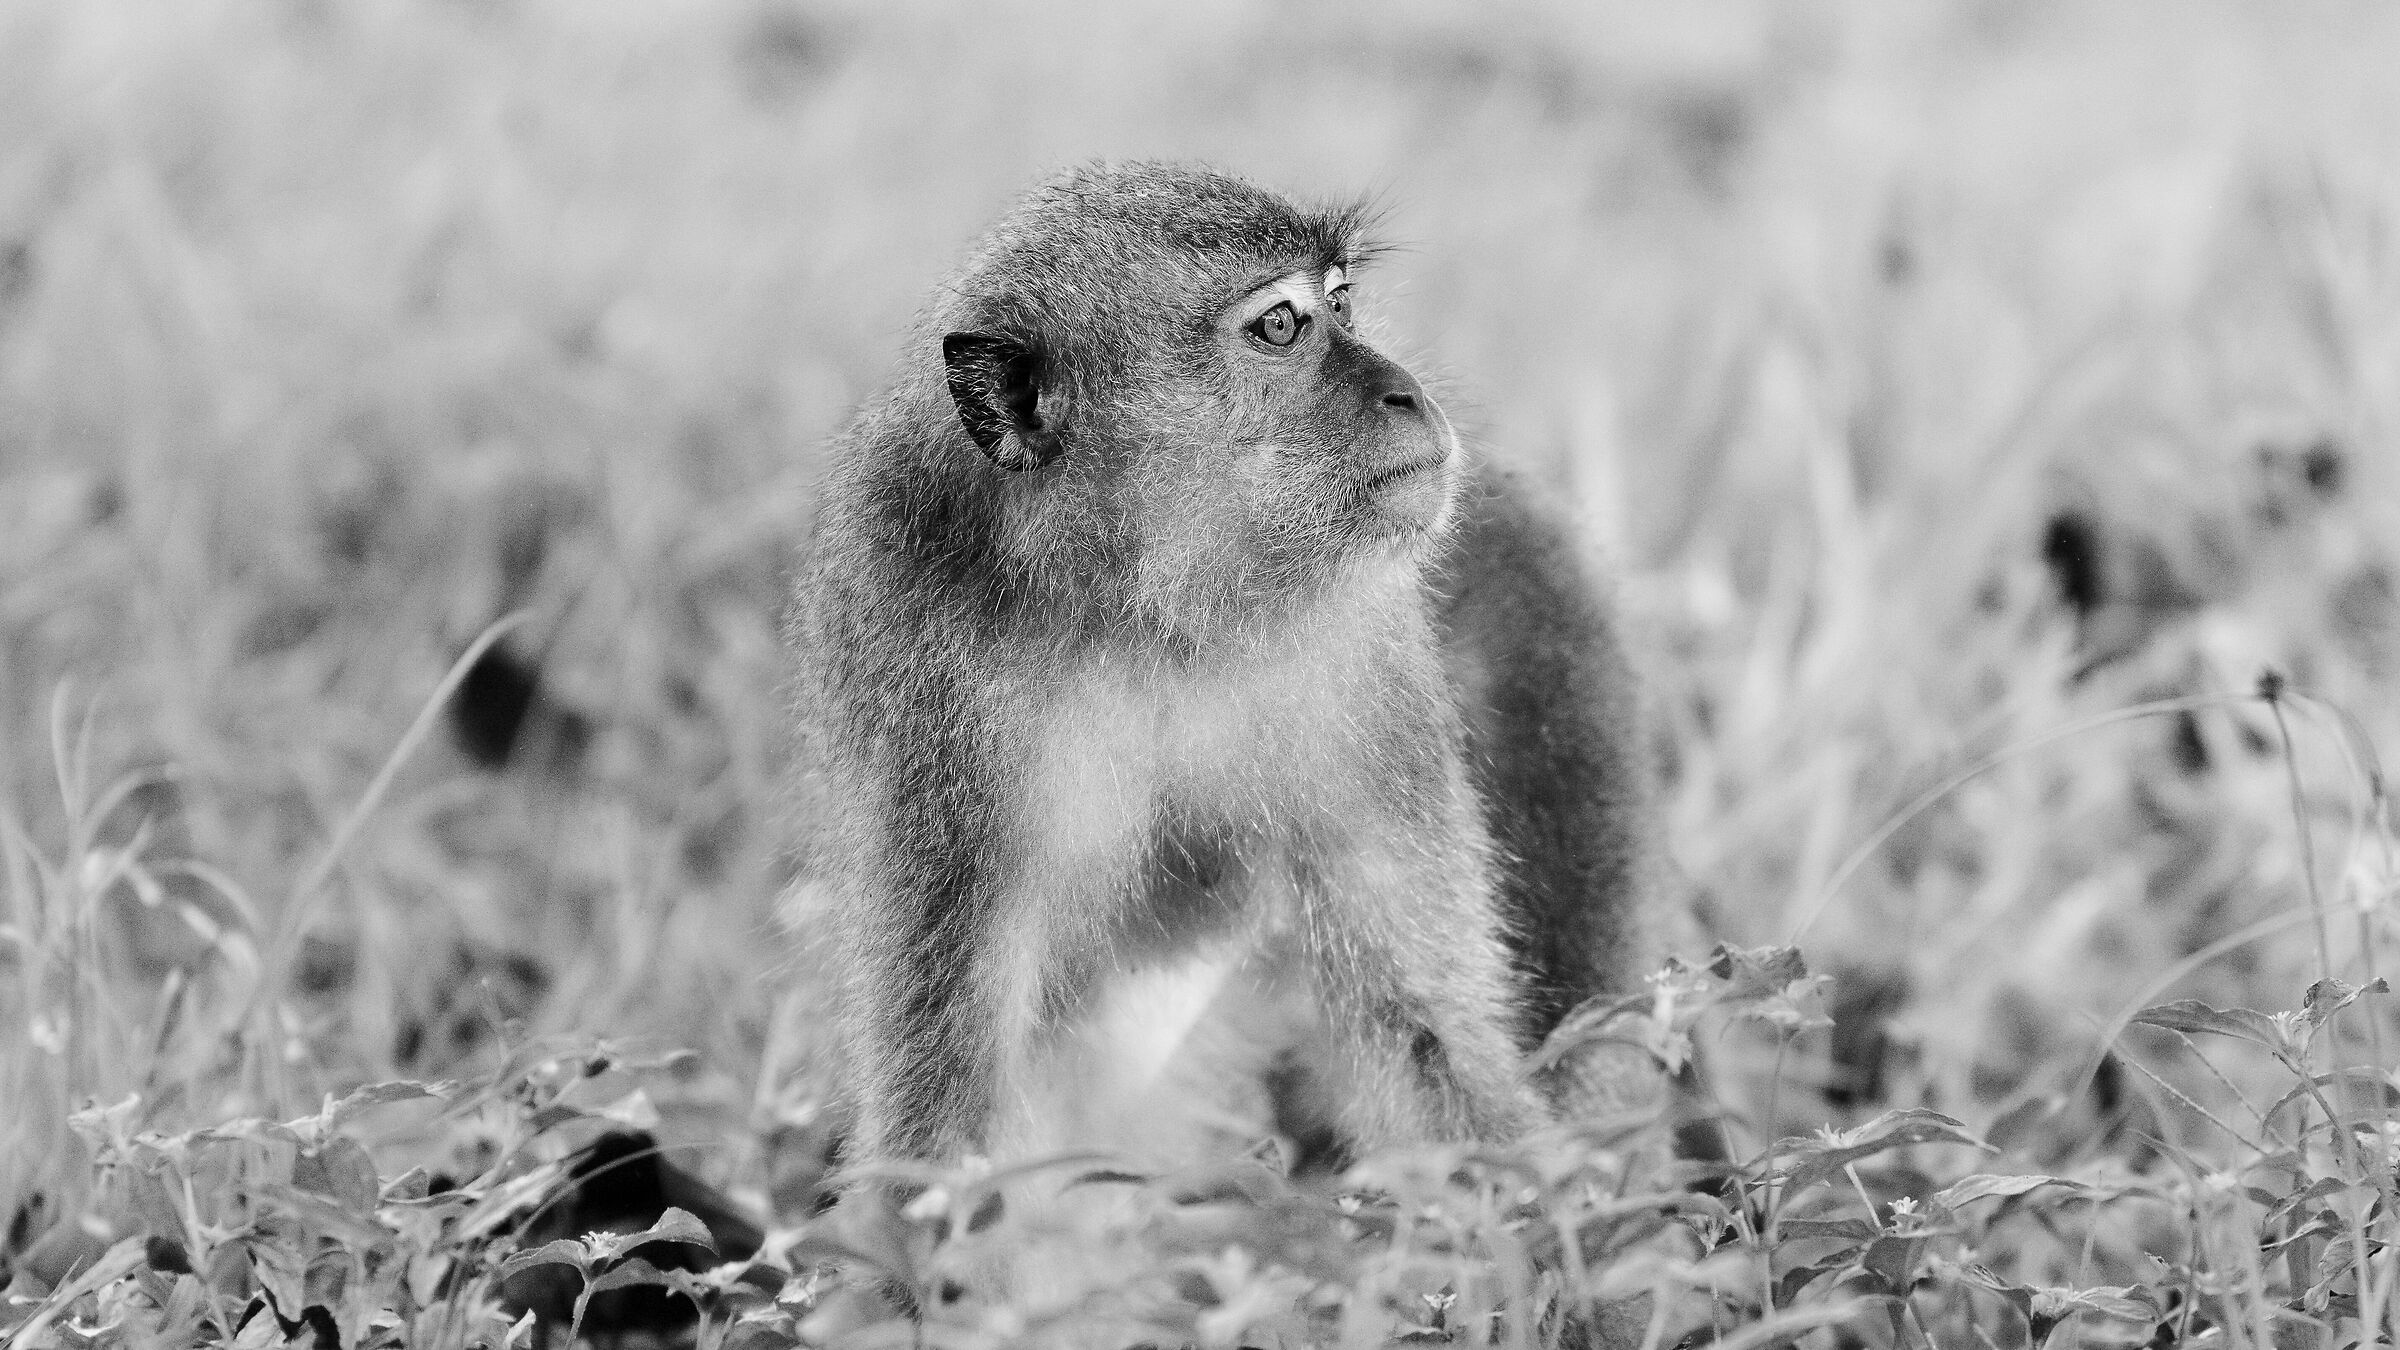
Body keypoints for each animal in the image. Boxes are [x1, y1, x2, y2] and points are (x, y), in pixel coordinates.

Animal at [783, 161, 1663, 1196]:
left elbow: (1424, 1032)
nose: (1404, 393)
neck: (1144, 609)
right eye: (1280, 326)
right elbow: (953, 1099)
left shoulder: (1363, 668)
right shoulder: (930, 692)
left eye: (1341, 301)